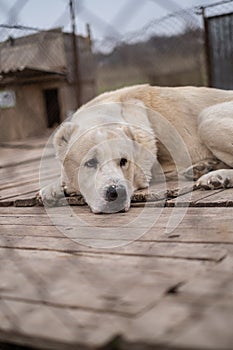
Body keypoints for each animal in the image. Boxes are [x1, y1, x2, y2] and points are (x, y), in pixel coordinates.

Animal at [39, 85, 233, 213]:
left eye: (124, 161)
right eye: (90, 162)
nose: (116, 193)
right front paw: (52, 189)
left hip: (207, 119)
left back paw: (217, 177)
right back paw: (204, 168)